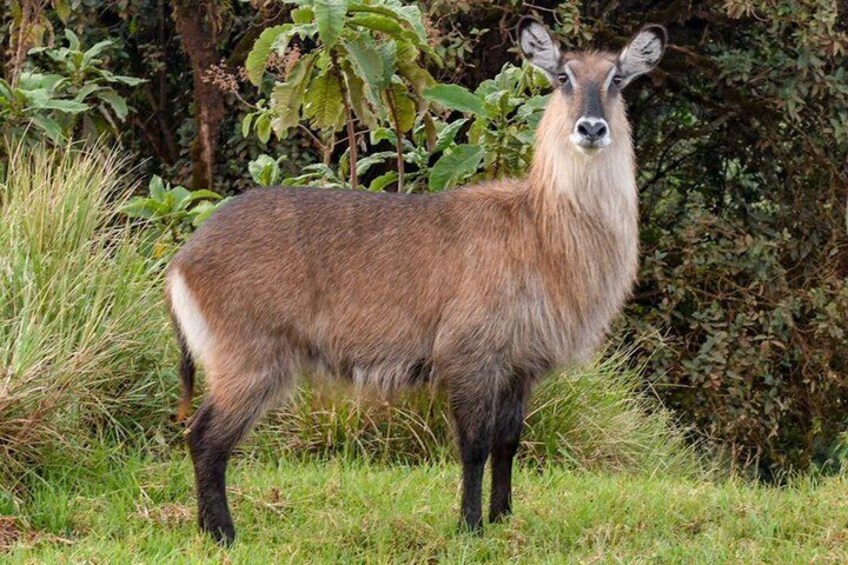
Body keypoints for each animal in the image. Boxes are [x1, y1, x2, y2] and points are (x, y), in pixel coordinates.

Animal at [165, 18, 667, 545]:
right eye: (563, 78)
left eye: (616, 80)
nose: (591, 128)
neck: (541, 228)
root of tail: (184, 257)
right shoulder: (469, 357)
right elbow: (474, 445)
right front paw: (470, 527)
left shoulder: (520, 366)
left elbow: (508, 443)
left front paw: (503, 517)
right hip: (250, 361)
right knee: (205, 437)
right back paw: (222, 534)